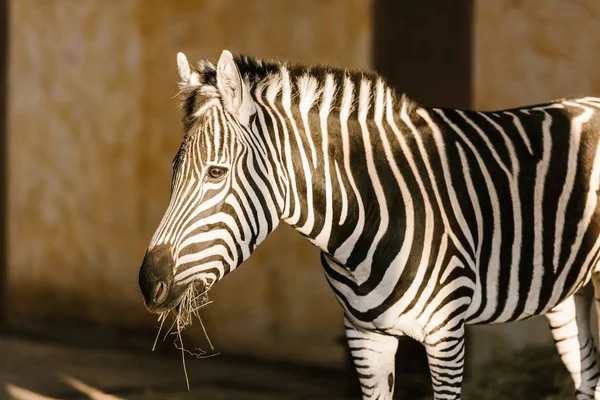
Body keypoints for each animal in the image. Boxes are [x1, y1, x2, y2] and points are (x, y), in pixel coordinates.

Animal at [137, 50, 600, 400]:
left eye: (215, 173)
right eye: (174, 172)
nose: (148, 282)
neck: (367, 209)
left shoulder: (447, 334)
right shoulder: (364, 335)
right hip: (568, 294)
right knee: (588, 376)